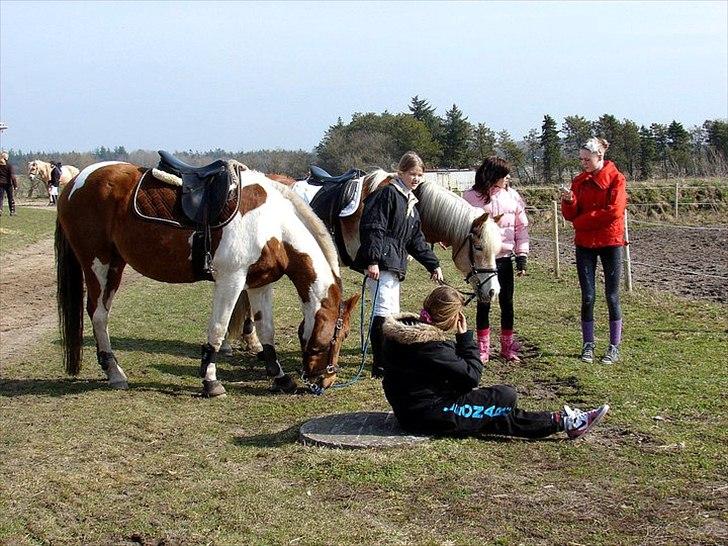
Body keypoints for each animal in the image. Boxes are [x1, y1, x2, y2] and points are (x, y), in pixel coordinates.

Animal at [56, 160, 362, 396]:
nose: (327, 380)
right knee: (99, 315)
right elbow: (218, 328)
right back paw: (114, 372)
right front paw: (211, 381)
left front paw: (279, 377)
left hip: (115, 265)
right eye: (341, 334)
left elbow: (266, 330)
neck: (273, 224)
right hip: (98, 265)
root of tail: (74, 183)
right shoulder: (232, 280)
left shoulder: (259, 283)